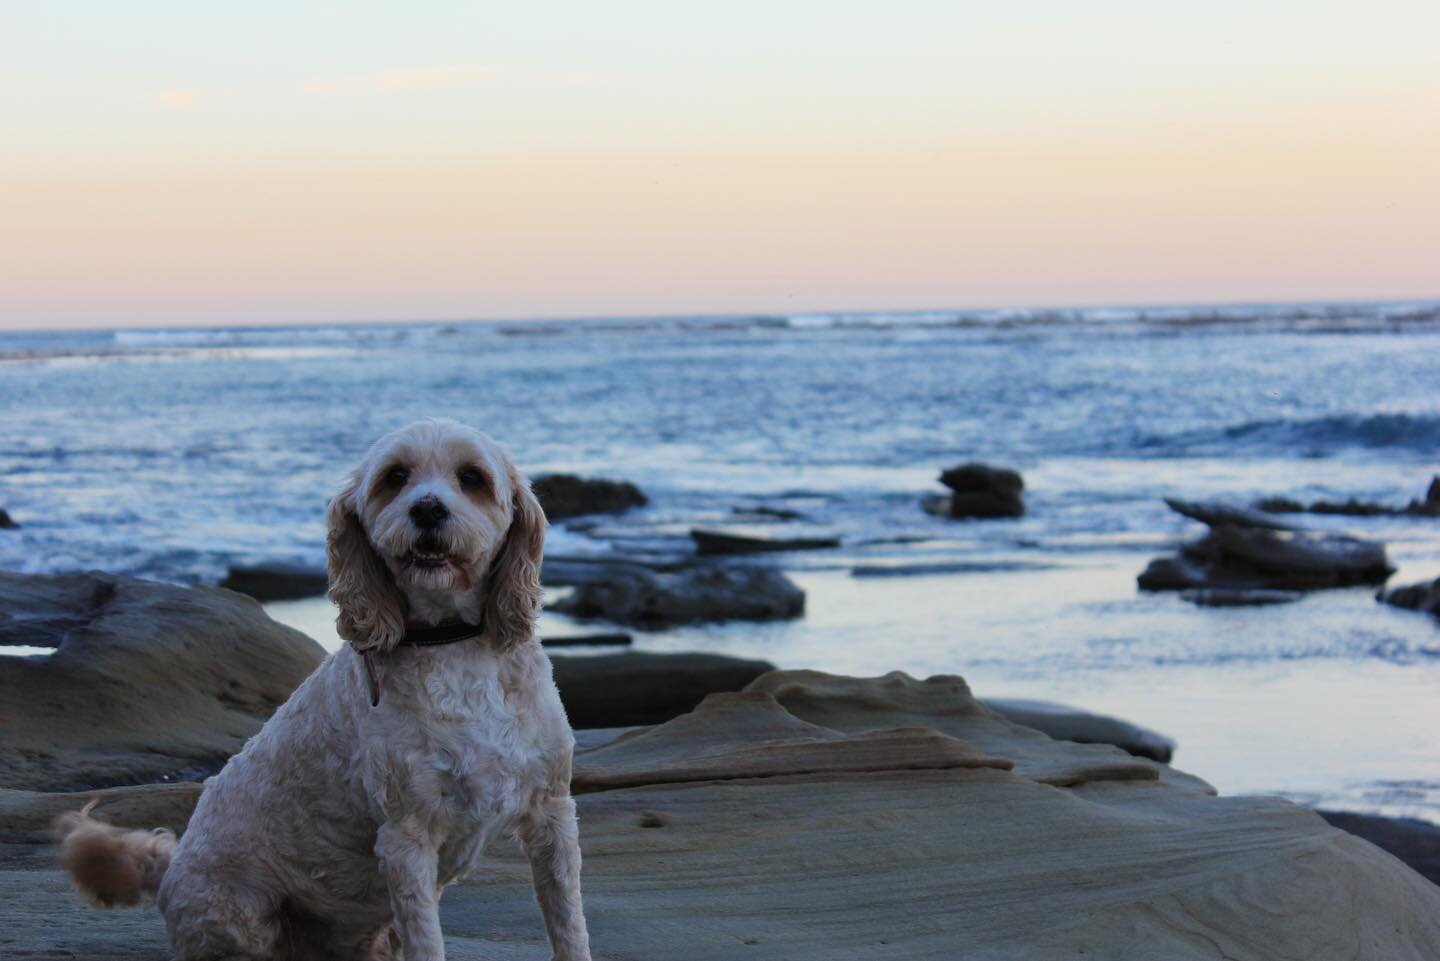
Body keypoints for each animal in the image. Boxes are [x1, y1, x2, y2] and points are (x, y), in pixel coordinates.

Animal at [57, 420, 590, 961]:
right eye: (395, 477)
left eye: (471, 477)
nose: (426, 509)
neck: (453, 642)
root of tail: (168, 870)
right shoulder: (406, 836)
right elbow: (427, 940)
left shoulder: (553, 812)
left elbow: (568, 922)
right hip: (237, 909)